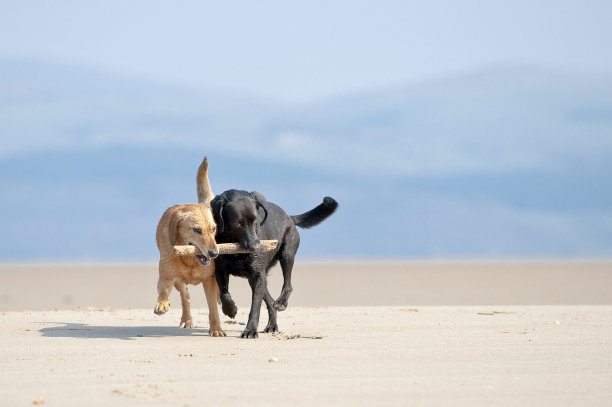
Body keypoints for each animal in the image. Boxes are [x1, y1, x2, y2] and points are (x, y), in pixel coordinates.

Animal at [212, 190, 340, 340]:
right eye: (237, 223)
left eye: (255, 220)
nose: (256, 247)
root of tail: (289, 217)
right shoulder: (220, 270)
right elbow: (224, 293)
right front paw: (230, 309)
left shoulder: (258, 275)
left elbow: (255, 307)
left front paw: (250, 330)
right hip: (256, 279)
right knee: (270, 301)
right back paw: (272, 325)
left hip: (286, 255)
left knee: (288, 285)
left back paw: (281, 302)